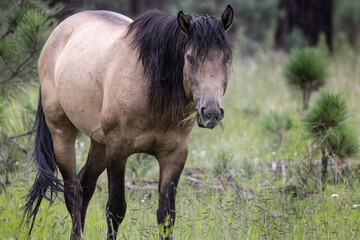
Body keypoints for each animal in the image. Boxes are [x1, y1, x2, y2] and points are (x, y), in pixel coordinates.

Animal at [24, 4, 233, 239]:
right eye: (190, 58)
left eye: (226, 58)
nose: (211, 113)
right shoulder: (118, 149)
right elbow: (115, 209)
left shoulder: (175, 155)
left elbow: (167, 216)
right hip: (62, 133)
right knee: (73, 192)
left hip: (99, 142)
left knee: (85, 185)